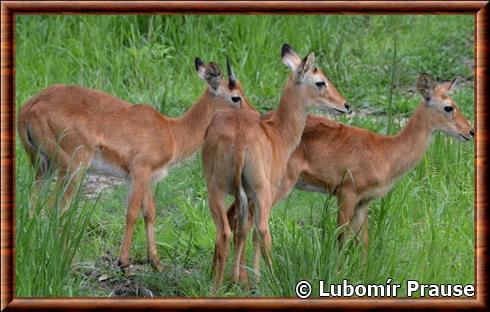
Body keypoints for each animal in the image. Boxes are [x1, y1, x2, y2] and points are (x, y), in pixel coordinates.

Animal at [17, 57, 251, 272]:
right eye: (236, 97)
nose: (253, 114)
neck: (172, 132)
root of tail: (29, 108)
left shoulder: (144, 177)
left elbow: (149, 213)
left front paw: (156, 262)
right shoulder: (140, 171)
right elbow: (131, 213)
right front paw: (123, 262)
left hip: (43, 168)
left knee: (33, 204)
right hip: (72, 169)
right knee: (55, 208)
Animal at [202, 44, 348, 294]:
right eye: (320, 81)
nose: (345, 105)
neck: (276, 133)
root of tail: (239, 139)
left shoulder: (244, 196)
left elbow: (242, 230)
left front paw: (237, 279)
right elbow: (253, 232)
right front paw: (252, 279)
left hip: (217, 190)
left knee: (226, 232)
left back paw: (216, 288)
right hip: (262, 192)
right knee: (262, 230)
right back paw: (273, 279)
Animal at [229, 73, 474, 280]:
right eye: (448, 107)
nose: (470, 131)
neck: (387, 154)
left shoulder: (364, 202)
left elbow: (362, 241)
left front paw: (362, 277)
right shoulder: (347, 193)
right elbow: (341, 237)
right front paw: (338, 274)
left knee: (236, 216)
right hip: (275, 185)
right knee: (252, 222)